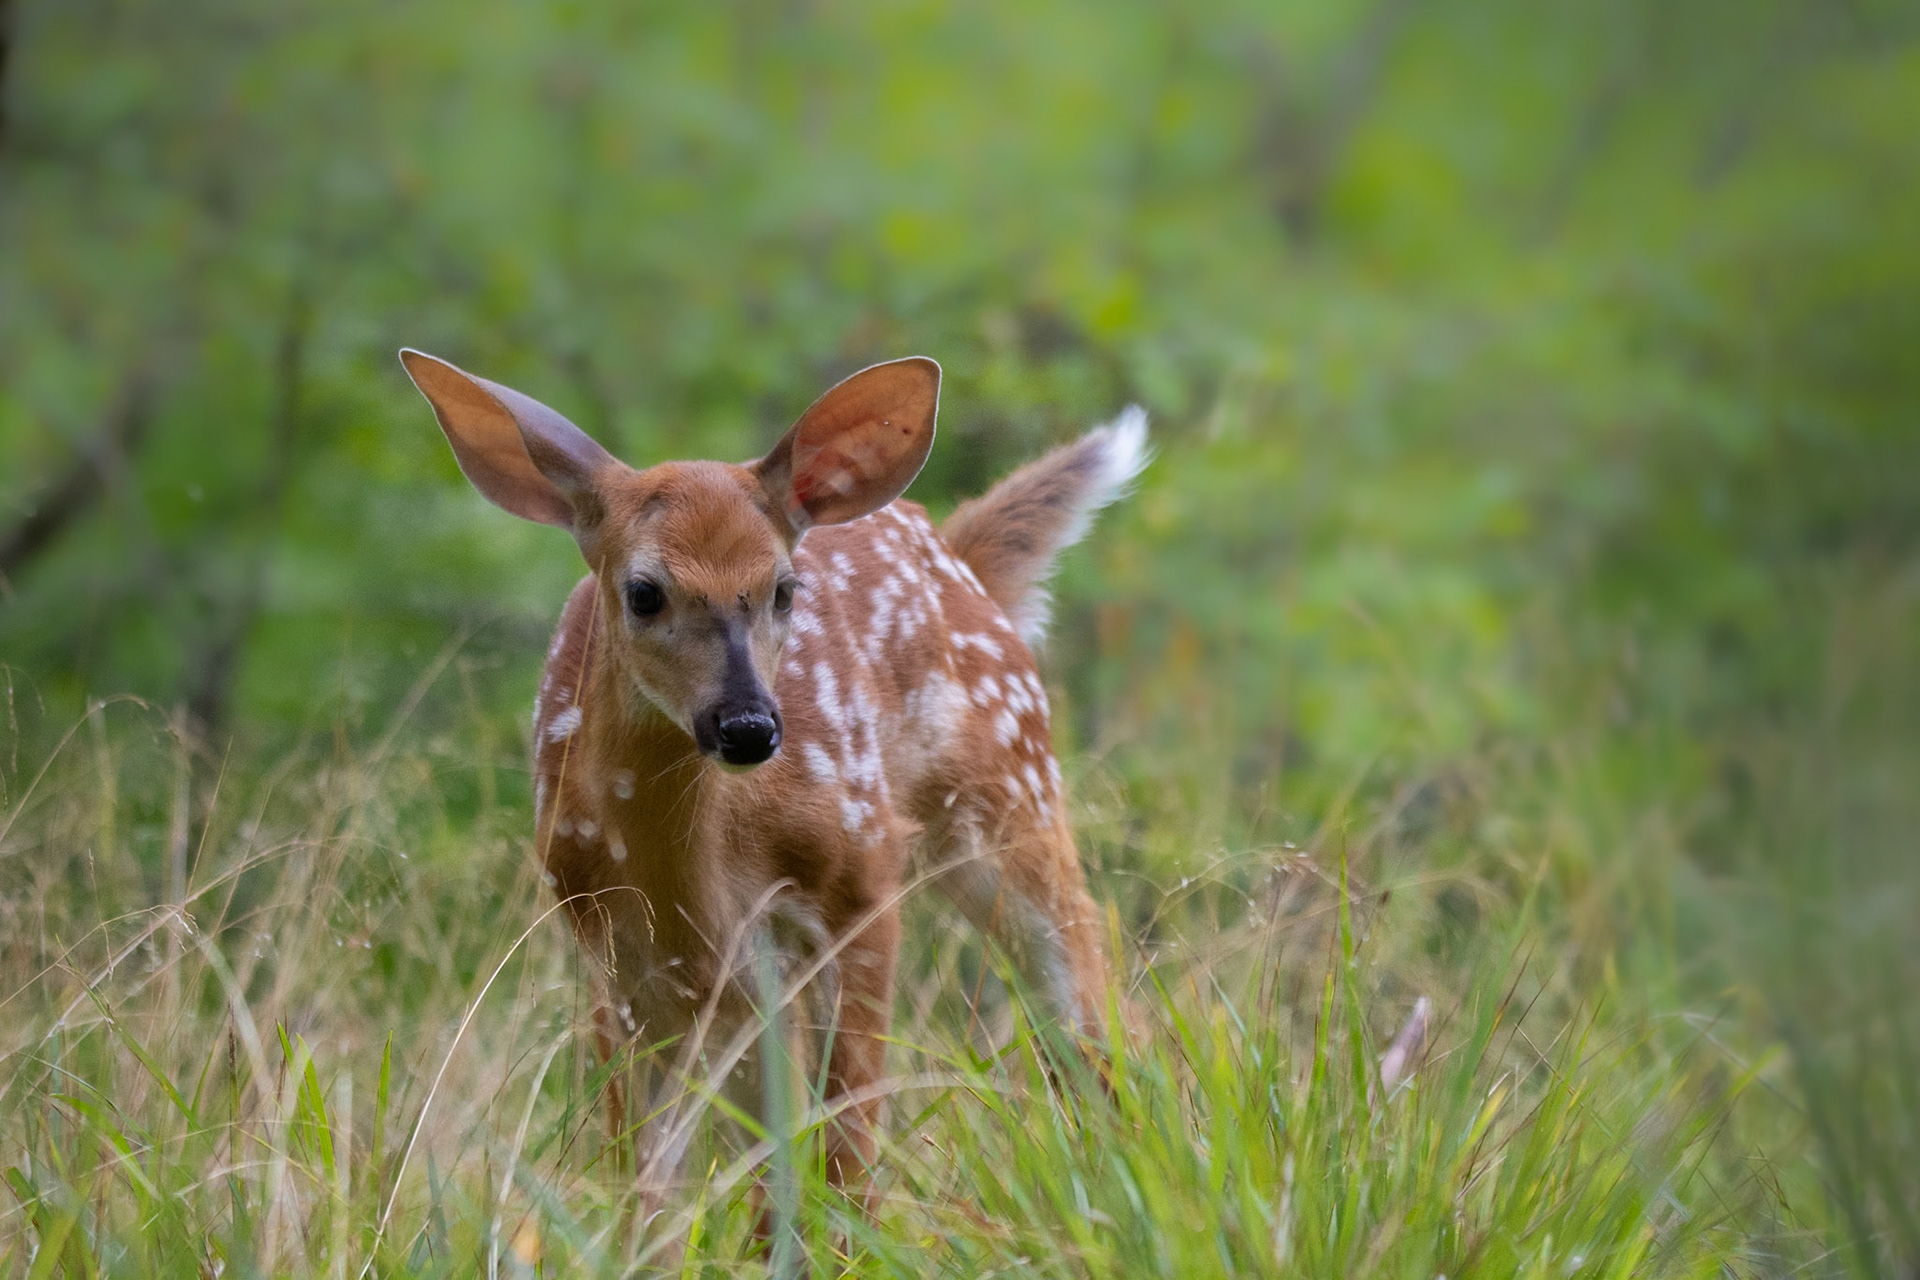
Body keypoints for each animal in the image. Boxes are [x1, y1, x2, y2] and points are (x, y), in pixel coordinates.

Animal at [399, 348, 1147, 1205]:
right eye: (644, 592)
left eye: (785, 588)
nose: (749, 725)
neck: (693, 870)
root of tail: (958, 556)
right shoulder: (616, 951)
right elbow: (648, 1180)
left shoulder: (857, 881)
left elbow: (845, 1144)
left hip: (1012, 790)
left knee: (1092, 1003)